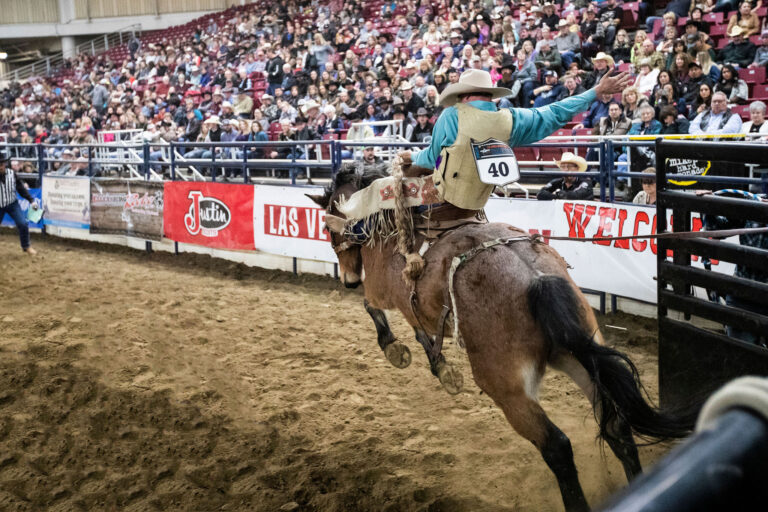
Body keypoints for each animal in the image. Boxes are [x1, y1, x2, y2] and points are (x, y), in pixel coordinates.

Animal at [308, 162, 696, 510]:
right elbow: (422, 333)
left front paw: (396, 350)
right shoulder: (411, 306)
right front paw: (442, 369)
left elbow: (374, 310)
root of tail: (536, 280)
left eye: (328, 228)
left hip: (507, 388)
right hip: (579, 356)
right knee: (616, 425)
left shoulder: (382, 291)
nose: (348, 279)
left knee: (557, 446)